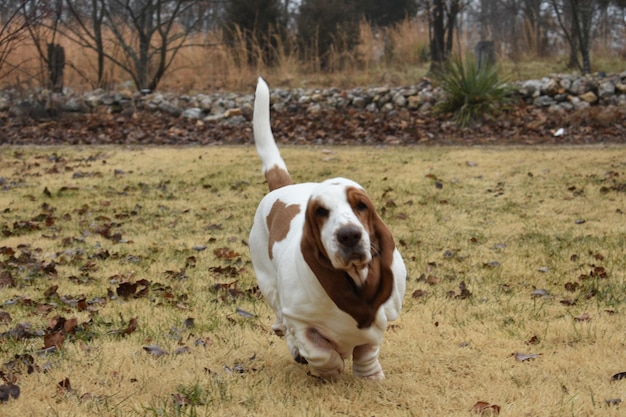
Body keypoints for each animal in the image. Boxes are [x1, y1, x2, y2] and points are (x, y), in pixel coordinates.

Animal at [249, 76, 404, 378]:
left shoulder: (377, 322)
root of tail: (282, 188)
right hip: (268, 282)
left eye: (361, 206)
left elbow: (367, 349)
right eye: (321, 211)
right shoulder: (300, 320)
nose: (349, 236)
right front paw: (329, 369)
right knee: (281, 322)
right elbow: (318, 350)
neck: (352, 279)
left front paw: (370, 376)